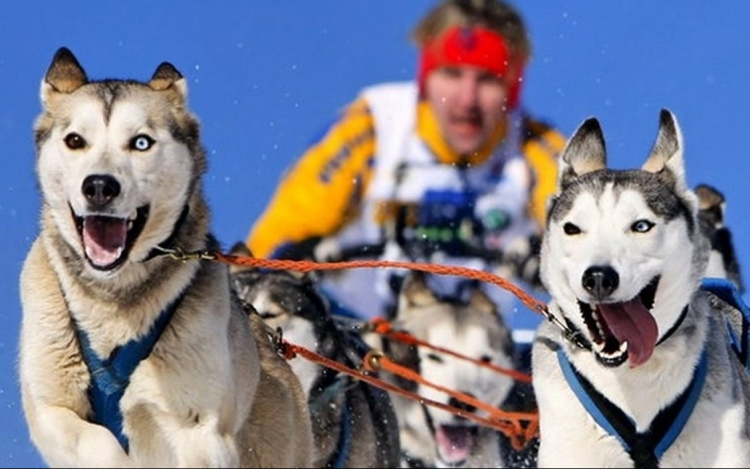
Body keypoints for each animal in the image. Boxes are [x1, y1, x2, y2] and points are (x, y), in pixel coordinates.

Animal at [19, 46, 314, 464]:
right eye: (75, 140)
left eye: (141, 143)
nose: (99, 186)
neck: (114, 301)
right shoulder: (52, 411)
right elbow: (98, 442)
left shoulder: (201, 429)